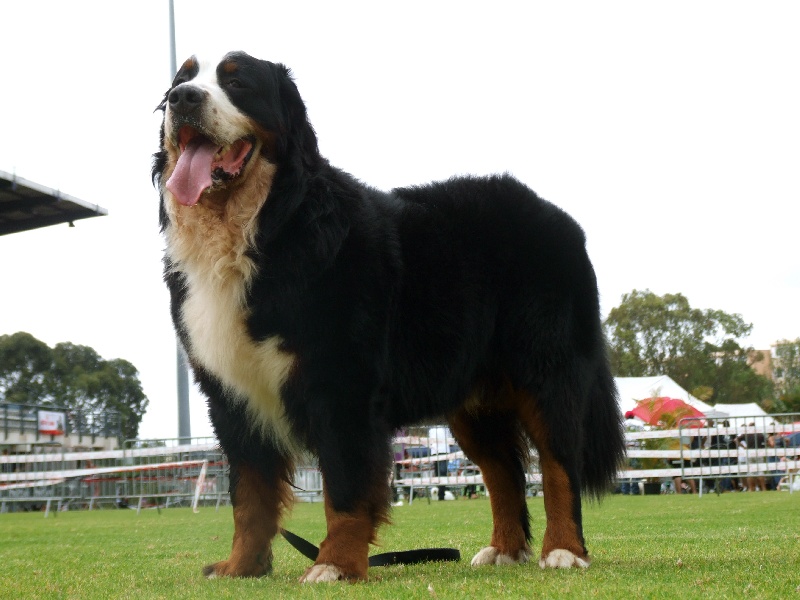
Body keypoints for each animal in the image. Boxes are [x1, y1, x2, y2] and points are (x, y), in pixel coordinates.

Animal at [150, 51, 624, 584]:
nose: (183, 99)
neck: (264, 227)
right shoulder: (233, 396)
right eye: (182, 77)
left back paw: (563, 550)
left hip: (547, 372)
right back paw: (504, 550)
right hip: (473, 400)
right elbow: (250, 497)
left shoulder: (343, 387)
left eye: (236, 82)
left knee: (560, 465)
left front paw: (334, 565)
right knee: (505, 471)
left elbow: (345, 488)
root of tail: (560, 219)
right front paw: (241, 568)